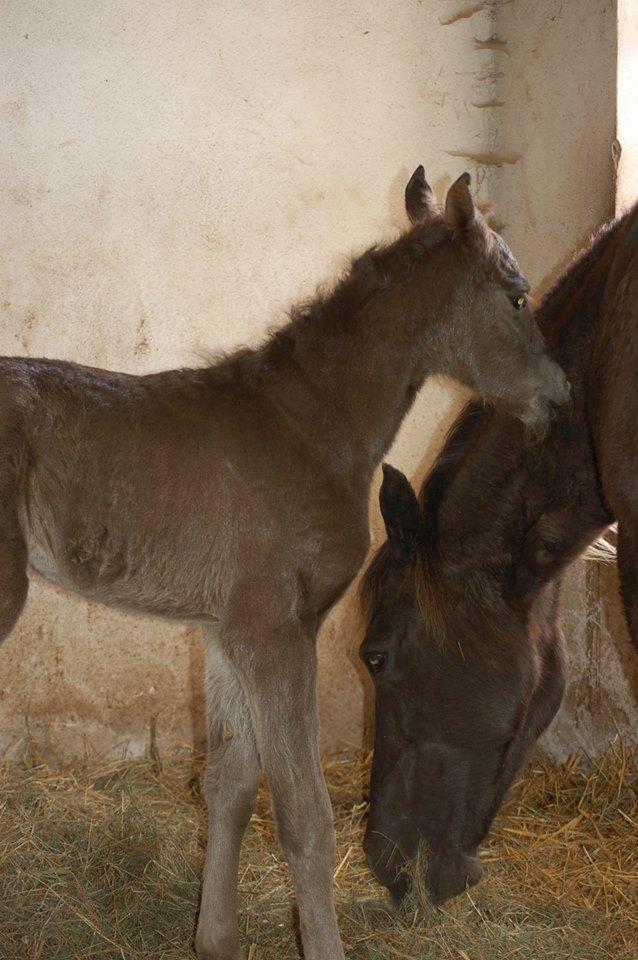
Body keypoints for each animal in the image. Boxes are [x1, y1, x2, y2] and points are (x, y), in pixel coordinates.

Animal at [0, 169, 568, 956]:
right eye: (516, 295)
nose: (561, 394)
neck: (308, 427)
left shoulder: (224, 633)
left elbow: (229, 782)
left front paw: (215, 938)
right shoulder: (276, 634)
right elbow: (306, 816)